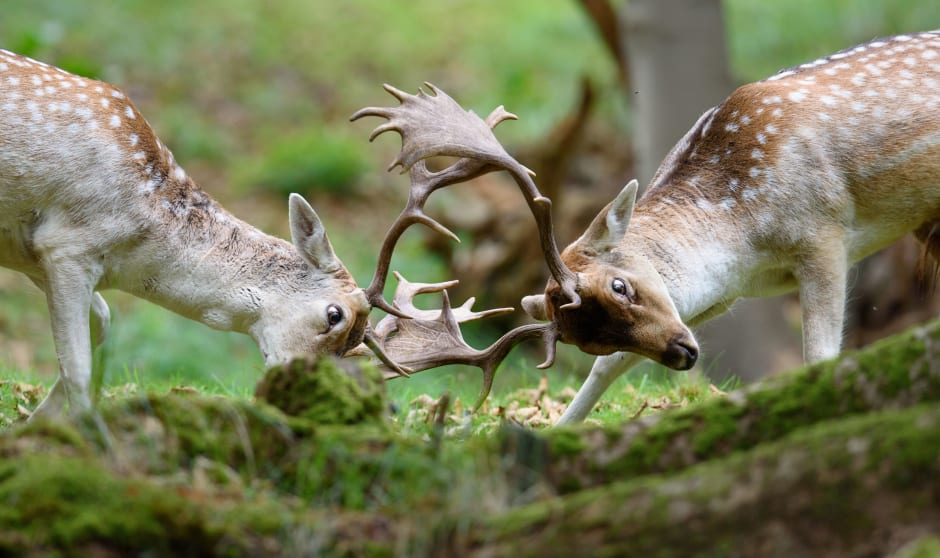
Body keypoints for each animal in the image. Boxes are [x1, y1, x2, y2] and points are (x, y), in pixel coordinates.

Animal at [520, 30, 940, 424]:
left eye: (619, 286)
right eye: (592, 342)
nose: (682, 354)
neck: (746, 244)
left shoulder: (824, 235)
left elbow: (819, 354)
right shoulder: (722, 294)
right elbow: (609, 367)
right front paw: (563, 429)